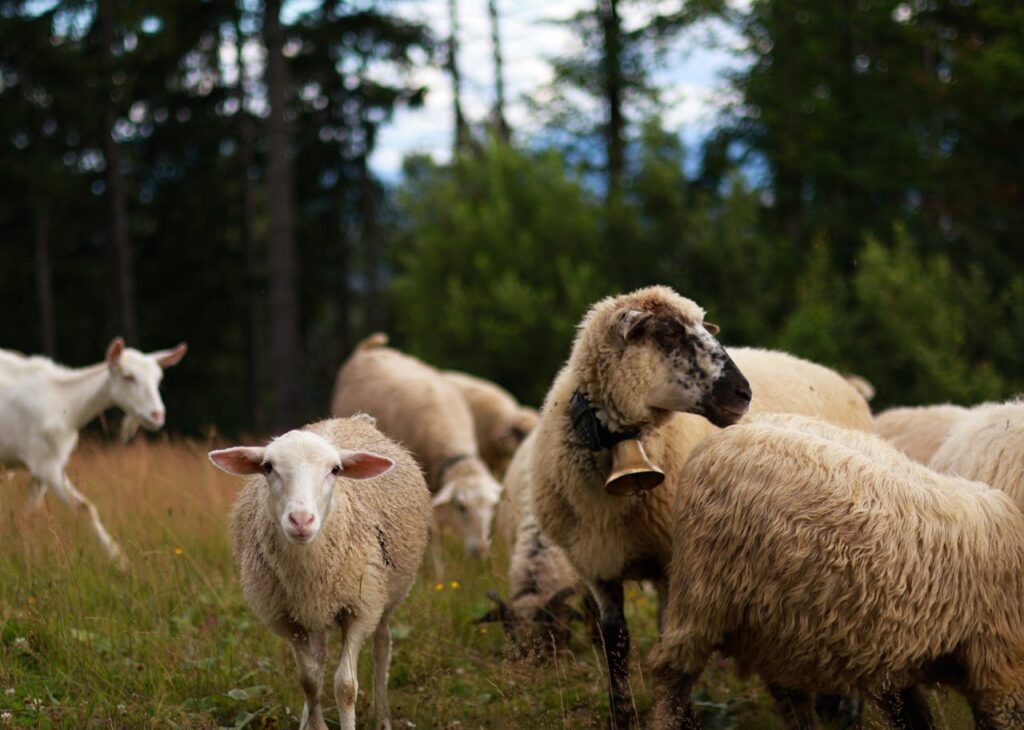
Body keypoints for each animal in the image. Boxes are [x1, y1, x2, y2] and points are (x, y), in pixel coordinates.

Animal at [0, 333, 188, 565]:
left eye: (158, 379)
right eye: (128, 377)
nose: (157, 415)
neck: (65, 404)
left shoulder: (40, 470)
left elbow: (27, 515)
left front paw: (25, 554)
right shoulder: (47, 465)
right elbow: (84, 507)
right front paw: (120, 561)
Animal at [209, 415, 430, 728]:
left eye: (335, 470)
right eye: (268, 467)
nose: (301, 520)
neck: (308, 568)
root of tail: (355, 418)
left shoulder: (359, 609)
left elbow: (345, 686)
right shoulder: (287, 619)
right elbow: (310, 680)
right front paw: (314, 723)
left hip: (386, 597)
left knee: (381, 646)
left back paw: (383, 717)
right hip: (313, 613)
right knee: (320, 657)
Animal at [532, 286, 876, 728]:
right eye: (667, 332)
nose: (743, 394)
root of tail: (838, 378)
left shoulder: (674, 560)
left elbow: (669, 639)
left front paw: (680, 717)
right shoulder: (597, 565)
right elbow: (616, 643)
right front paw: (621, 716)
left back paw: (848, 710)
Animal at [647, 409, 1024, 728]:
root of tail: (721, 437)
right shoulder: (1002, 670)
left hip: (773, 624)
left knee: (792, 699)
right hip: (701, 598)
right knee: (672, 680)